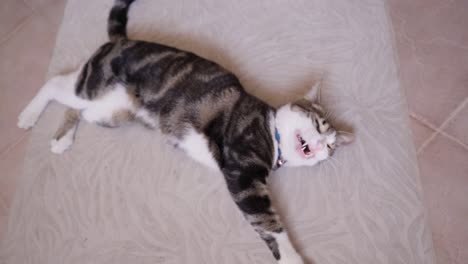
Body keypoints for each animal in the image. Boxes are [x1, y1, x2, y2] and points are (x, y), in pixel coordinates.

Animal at [17, 0, 354, 262]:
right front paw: (294, 258)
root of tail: (120, 40)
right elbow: (271, 225)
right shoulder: (243, 175)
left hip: (111, 113)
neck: (271, 132)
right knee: (56, 84)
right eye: (319, 125)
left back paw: (62, 138)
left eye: (331, 147)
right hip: (95, 85)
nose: (322, 146)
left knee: (76, 106)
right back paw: (27, 116)